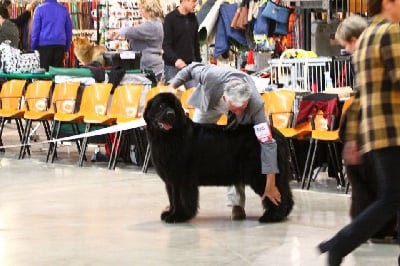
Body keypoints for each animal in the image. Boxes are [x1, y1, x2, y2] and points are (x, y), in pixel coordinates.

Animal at [144, 92, 294, 223]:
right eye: (161, 106)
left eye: (175, 107)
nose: (170, 114)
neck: (169, 137)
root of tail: (278, 136)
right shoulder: (170, 180)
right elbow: (172, 198)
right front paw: (170, 213)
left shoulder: (181, 178)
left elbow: (179, 198)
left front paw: (178, 216)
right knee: (285, 193)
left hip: (260, 174)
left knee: (275, 193)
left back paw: (271, 216)